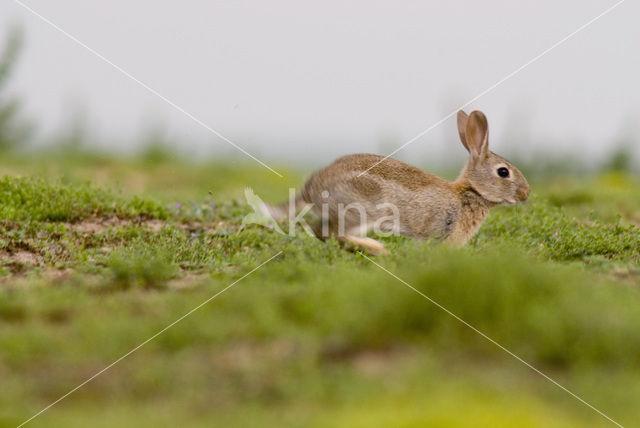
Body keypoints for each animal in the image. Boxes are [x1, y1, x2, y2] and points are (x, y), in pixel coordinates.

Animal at [270, 110, 528, 254]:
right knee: (326, 232)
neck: (471, 191)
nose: (526, 194)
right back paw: (377, 249)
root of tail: (311, 189)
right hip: (362, 209)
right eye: (503, 172)